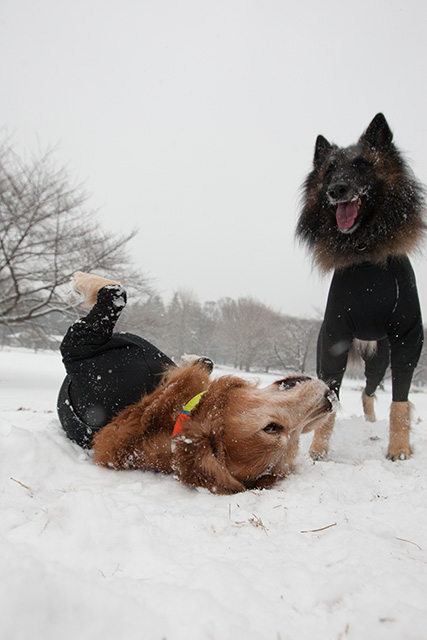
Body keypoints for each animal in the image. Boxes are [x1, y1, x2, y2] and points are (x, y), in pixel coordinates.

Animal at [298, 112, 427, 458]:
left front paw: (399, 449)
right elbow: (330, 396)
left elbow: (400, 402)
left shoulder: (408, 337)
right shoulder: (335, 338)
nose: (336, 190)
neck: (364, 251)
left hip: (380, 361)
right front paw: (318, 451)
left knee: (370, 393)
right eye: (330, 169)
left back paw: (371, 423)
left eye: (361, 165)